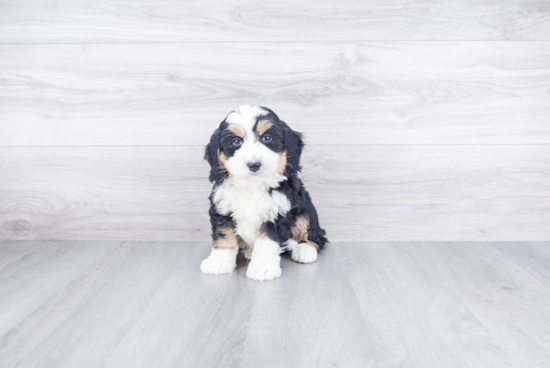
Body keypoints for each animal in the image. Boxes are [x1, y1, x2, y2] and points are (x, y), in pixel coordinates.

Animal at [202, 105, 328, 280]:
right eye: (236, 141)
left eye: (267, 138)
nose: (254, 164)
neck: (252, 185)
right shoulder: (222, 207)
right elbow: (224, 235)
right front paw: (218, 262)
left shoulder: (278, 212)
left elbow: (267, 243)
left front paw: (262, 267)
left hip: (305, 208)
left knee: (314, 234)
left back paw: (305, 250)